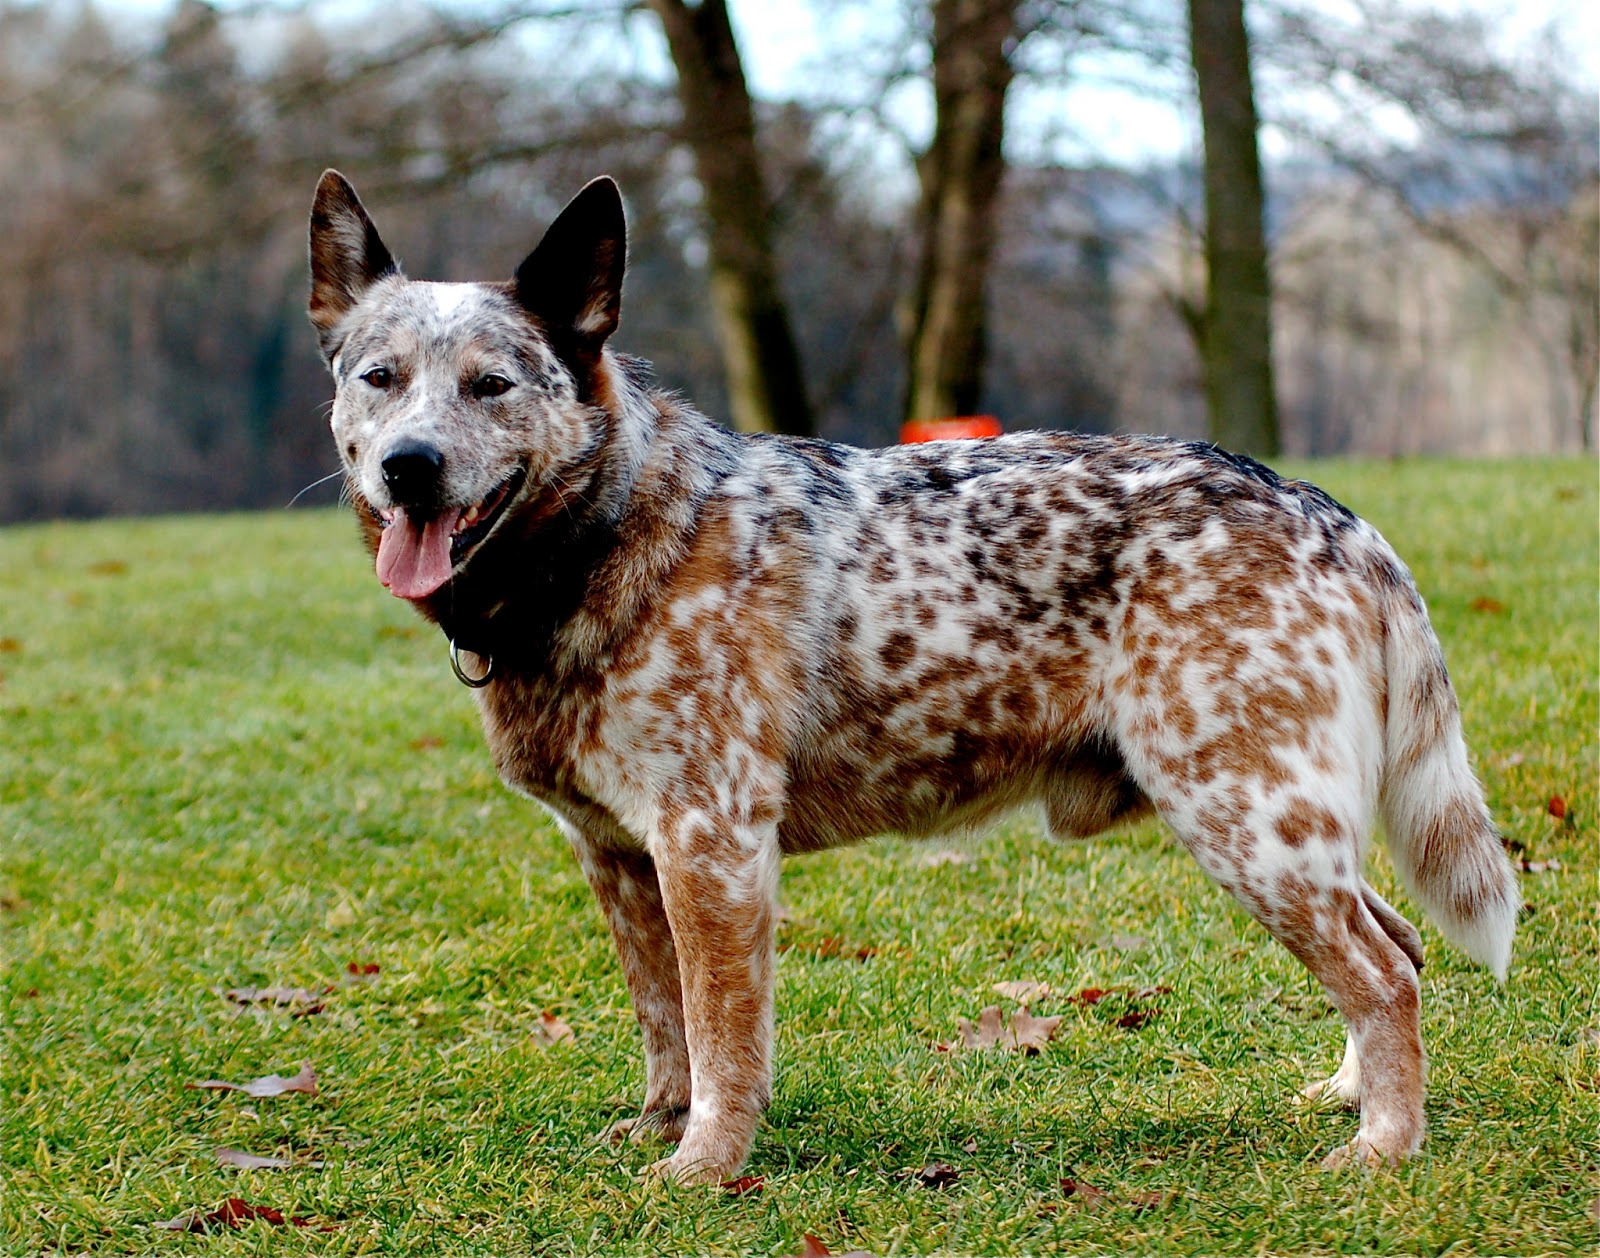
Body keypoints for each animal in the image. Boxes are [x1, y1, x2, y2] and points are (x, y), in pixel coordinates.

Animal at [305, 171, 1516, 1184]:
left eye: (492, 384)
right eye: (381, 378)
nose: (409, 466)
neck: (617, 533)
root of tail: (1333, 513)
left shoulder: (711, 844)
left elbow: (720, 1034)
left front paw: (705, 1165)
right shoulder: (617, 854)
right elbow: (665, 1028)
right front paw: (659, 1127)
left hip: (1246, 815)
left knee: (1385, 971)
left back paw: (1385, 1146)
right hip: (1283, 819)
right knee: (1397, 945)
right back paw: (1355, 1097)